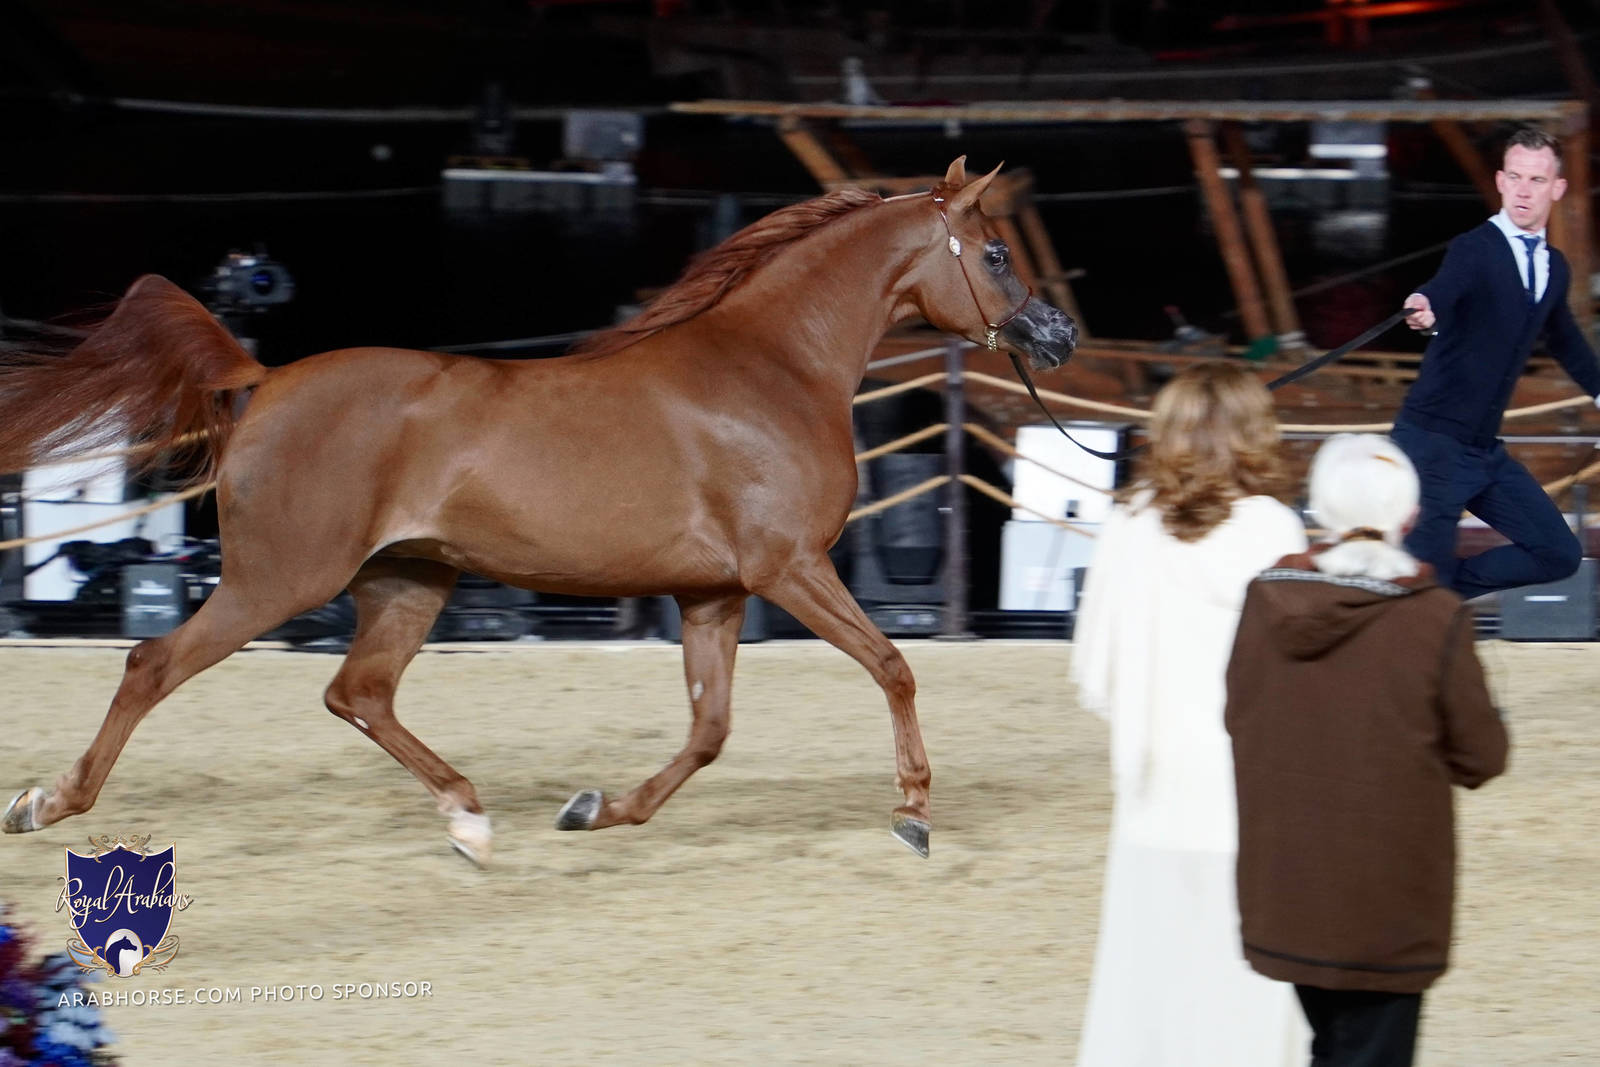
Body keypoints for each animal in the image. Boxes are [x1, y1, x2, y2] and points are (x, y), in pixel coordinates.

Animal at [0, 157, 1077, 863]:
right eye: (993, 251)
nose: (1058, 334)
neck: (772, 366)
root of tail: (261, 381)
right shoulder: (788, 569)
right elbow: (893, 665)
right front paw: (914, 812)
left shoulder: (715, 594)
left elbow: (710, 728)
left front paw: (592, 809)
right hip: (282, 578)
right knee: (154, 664)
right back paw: (46, 802)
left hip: (408, 579)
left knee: (359, 692)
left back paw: (472, 820)